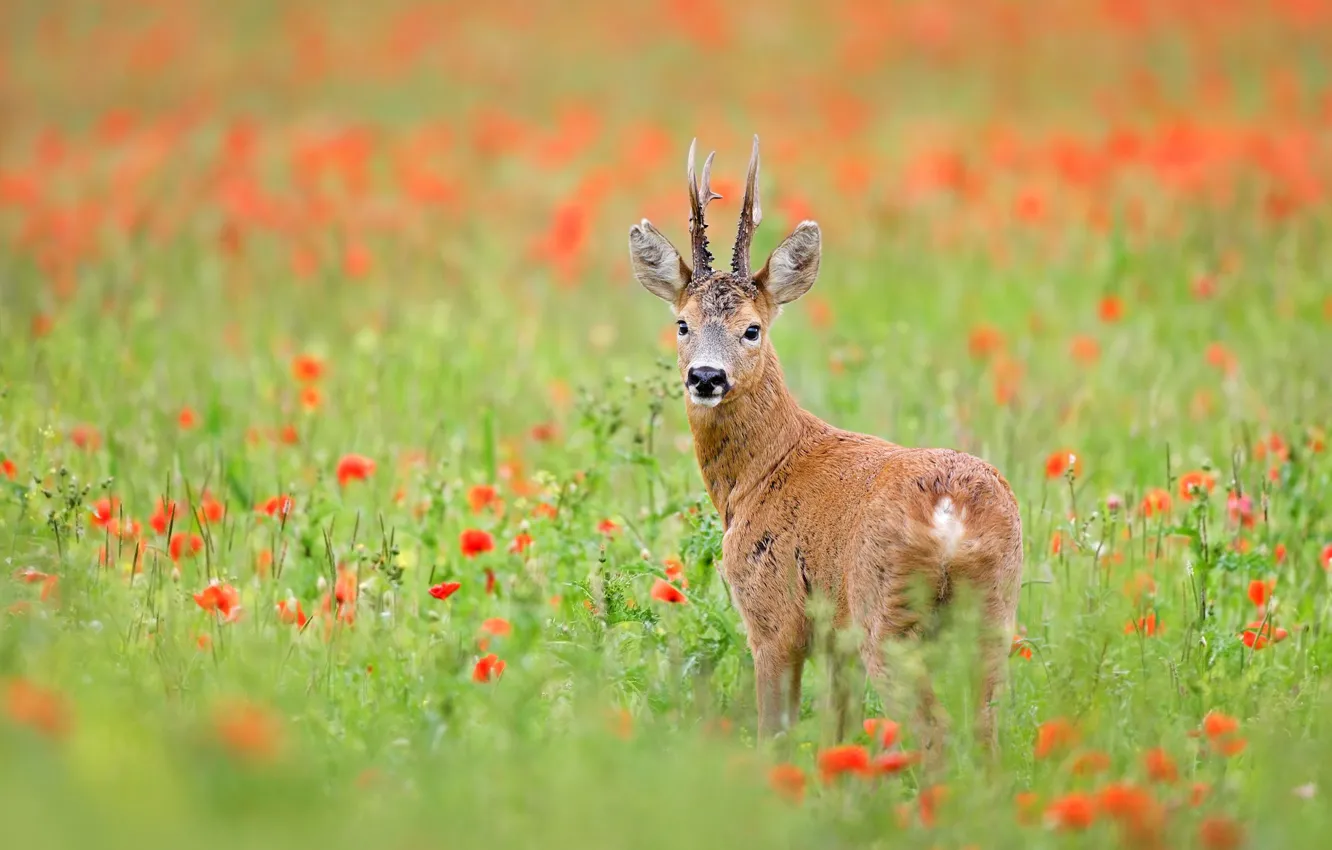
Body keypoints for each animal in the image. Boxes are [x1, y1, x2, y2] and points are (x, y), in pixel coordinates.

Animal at [627, 137, 1024, 761]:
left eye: (752, 329)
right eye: (682, 324)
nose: (707, 377)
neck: (761, 471)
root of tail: (952, 512)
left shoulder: (773, 616)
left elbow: (777, 733)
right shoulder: (837, 640)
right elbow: (840, 729)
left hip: (888, 610)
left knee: (933, 732)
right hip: (993, 608)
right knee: (987, 730)